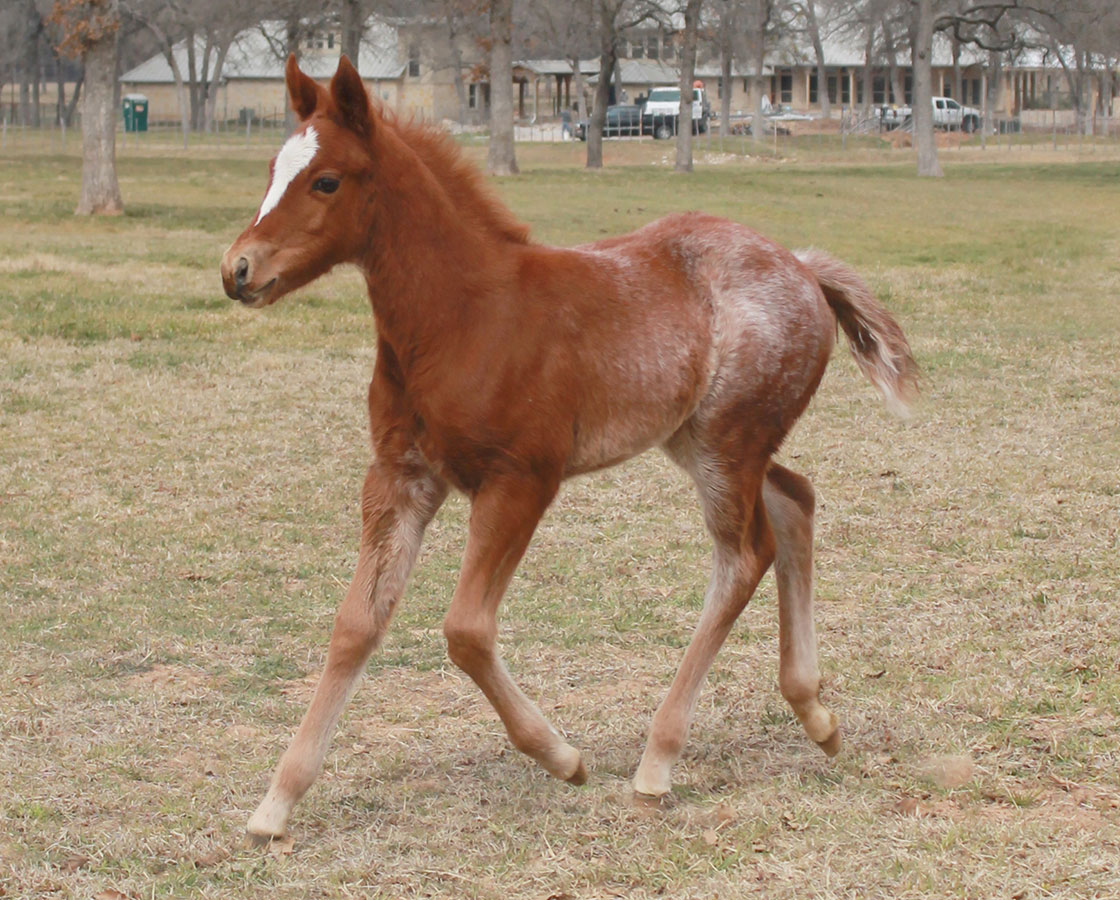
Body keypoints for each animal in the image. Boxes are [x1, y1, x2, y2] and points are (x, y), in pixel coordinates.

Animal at [220, 57, 918, 841]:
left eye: (326, 181)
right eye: (273, 168)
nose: (238, 269)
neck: (463, 317)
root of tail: (800, 266)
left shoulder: (521, 480)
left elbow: (465, 629)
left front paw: (563, 758)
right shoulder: (399, 478)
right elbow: (356, 625)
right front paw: (277, 802)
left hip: (725, 444)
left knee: (744, 558)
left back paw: (657, 763)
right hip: (705, 438)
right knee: (796, 500)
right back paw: (815, 713)